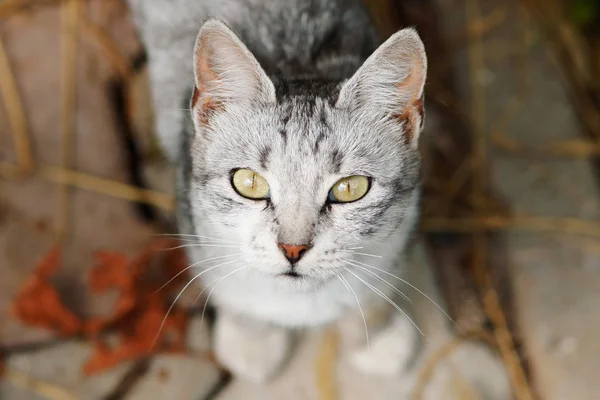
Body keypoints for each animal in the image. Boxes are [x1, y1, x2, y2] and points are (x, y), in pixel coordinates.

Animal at [126, 0, 426, 382]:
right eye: (249, 183)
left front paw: (375, 336)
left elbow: (377, 293)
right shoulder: (194, 225)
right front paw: (251, 340)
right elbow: (229, 290)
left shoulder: (404, 228)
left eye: (350, 188)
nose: (292, 249)